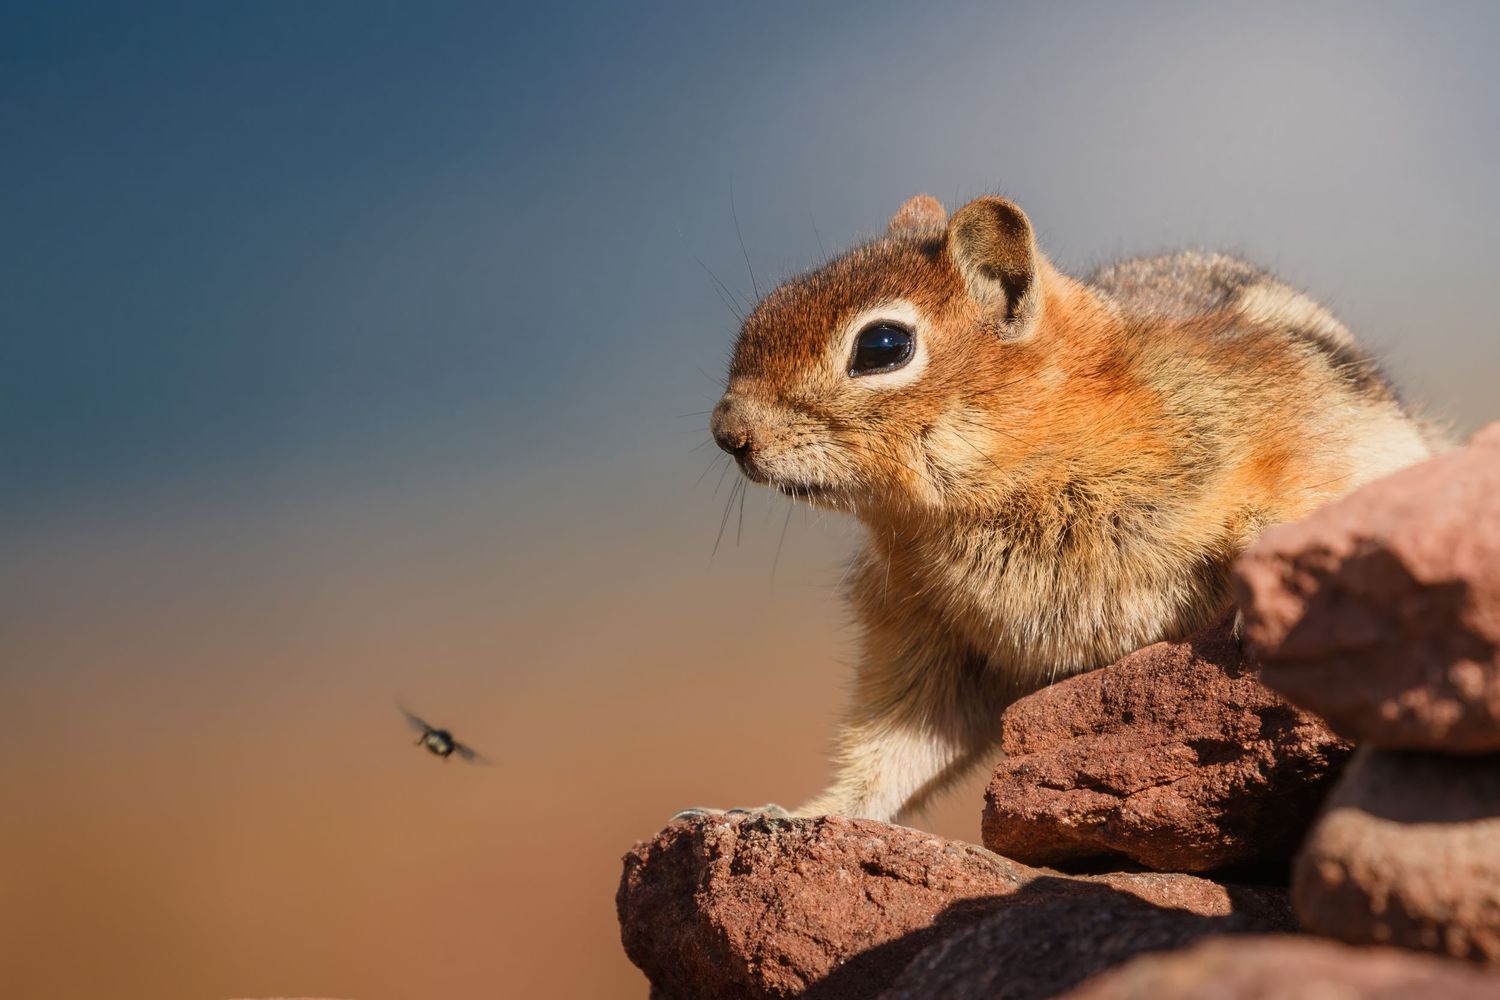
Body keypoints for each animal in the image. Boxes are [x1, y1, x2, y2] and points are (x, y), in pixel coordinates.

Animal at [695, 193, 1439, 825]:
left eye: (883, 347)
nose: (728, 432)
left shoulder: (1287, 437)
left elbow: (1295, 509)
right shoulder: (922, 632)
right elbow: (895, 746)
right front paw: (797, 813)